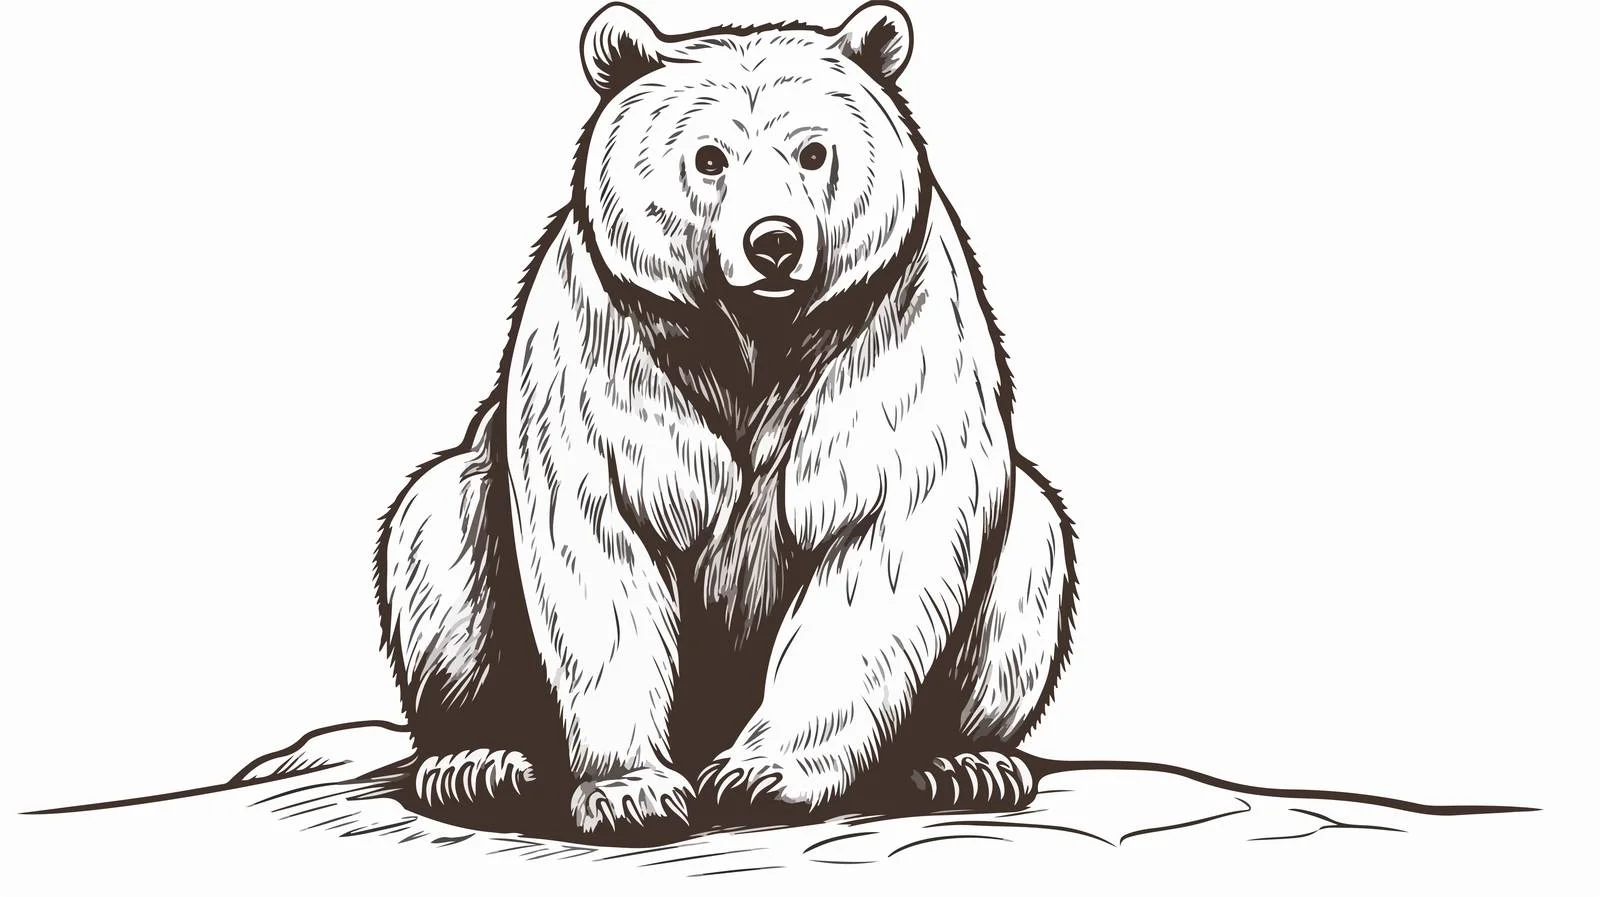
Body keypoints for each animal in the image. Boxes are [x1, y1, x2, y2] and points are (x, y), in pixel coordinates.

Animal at [376, 2, 1077, 841]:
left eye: (813, 150)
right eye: (710, 156)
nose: (774, 242)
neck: (755, 336)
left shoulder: (894, 326)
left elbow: (882, 541)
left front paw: (760, 774)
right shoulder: (606, 343)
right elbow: (597, 550)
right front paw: (634, 790)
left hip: (1018, 571)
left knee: (1032, 540)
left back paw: (962, 761)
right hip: (459, 543)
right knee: (436, 529)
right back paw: (477, 761)